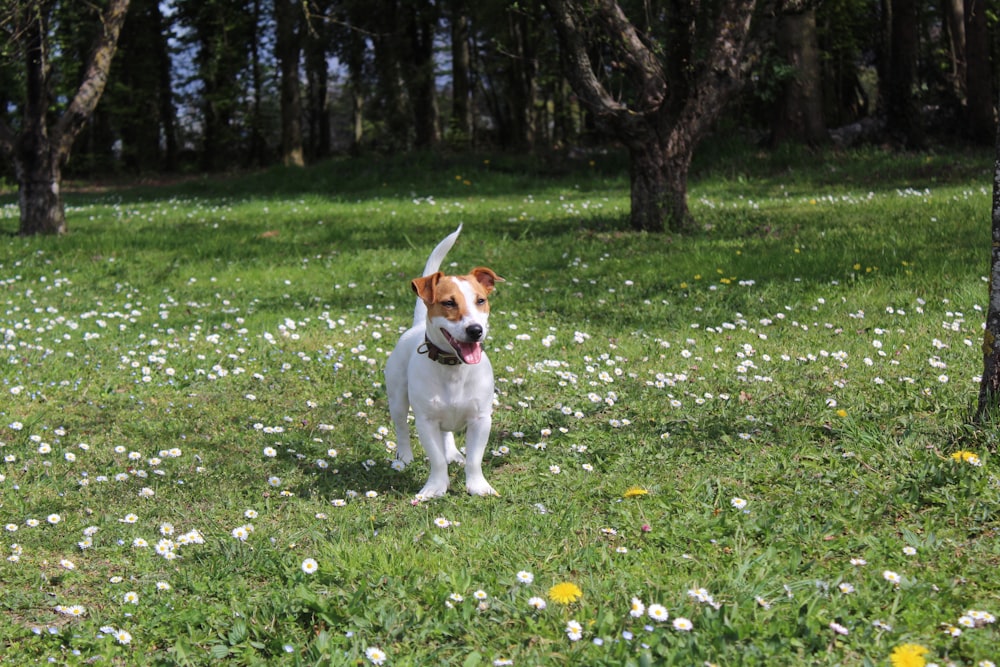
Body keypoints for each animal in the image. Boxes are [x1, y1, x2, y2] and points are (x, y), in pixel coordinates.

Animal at [384, 227, 504, 498]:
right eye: (449, 303)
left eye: (481, 300)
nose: (475, 330)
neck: (453, 368)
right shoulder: (425, 421)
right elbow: (436, 459)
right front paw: (435, 488)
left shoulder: (481, 419)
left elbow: (474, 459)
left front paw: (478, 486)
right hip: (397, 397)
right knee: (401, 427)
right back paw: (404, 456)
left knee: (446, 433)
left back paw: (452, 453)